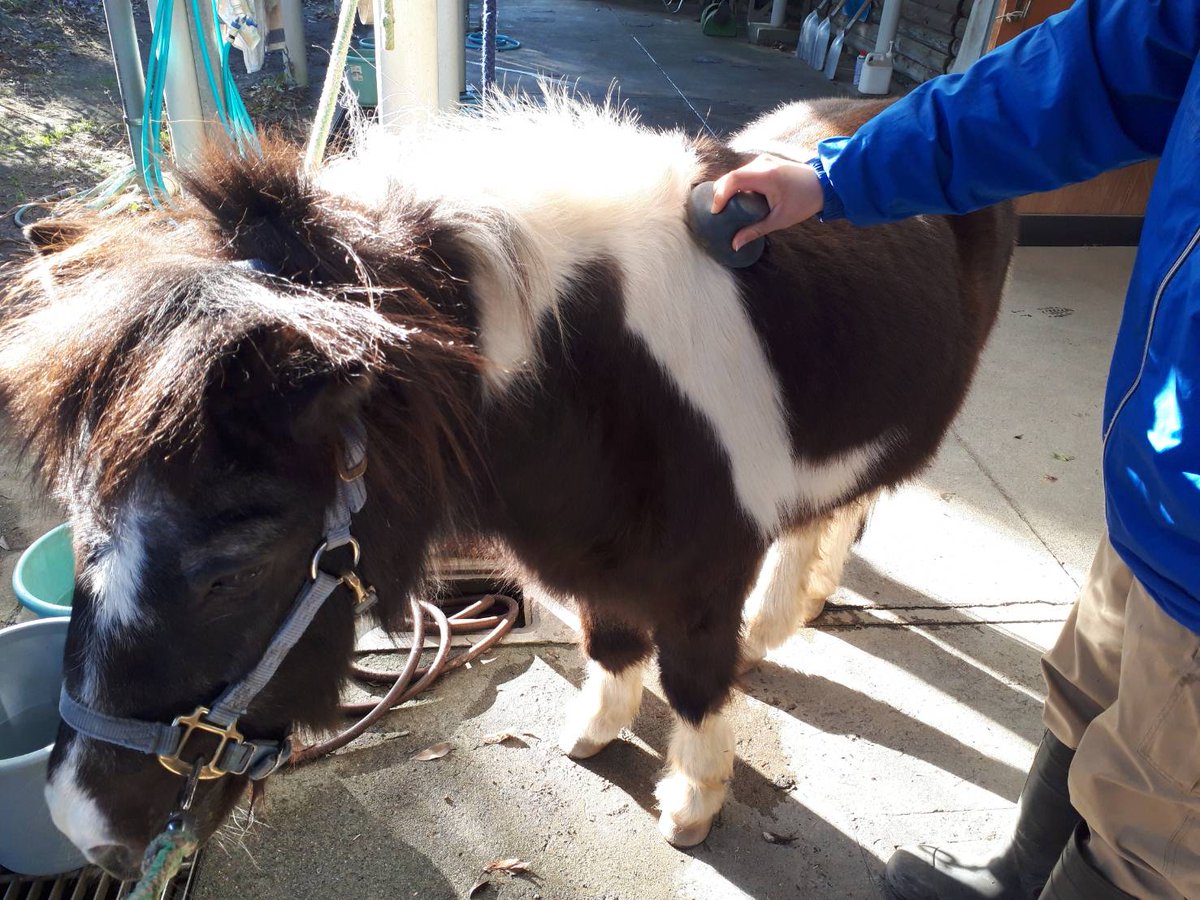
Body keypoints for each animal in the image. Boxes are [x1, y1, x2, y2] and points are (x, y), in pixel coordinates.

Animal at [0, 93, 1016, 879]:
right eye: (80, 527)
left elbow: (694, 681)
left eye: (231, 567)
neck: (598, 380)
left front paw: (691, 805)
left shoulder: (703, 578)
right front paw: (595, 732)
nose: (87, 827)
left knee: (838, 514)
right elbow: (611, 642)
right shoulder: (591, 555)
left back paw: (775, 622)